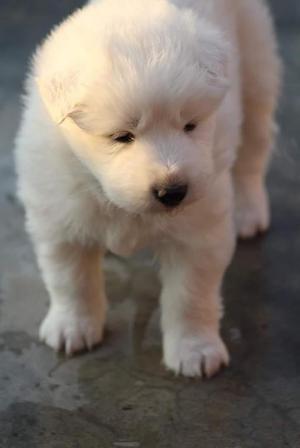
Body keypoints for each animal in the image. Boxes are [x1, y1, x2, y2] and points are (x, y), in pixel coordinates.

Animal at [14, 0, 282, 378]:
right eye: (121, 136)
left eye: (190, 125)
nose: (173, 191)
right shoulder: (59, 215)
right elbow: (70, 279)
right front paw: (72, 327)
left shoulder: (199, 231)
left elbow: (190, 296)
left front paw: (195, 351)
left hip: (257, 67)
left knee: (254, 149)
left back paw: (248, 212)